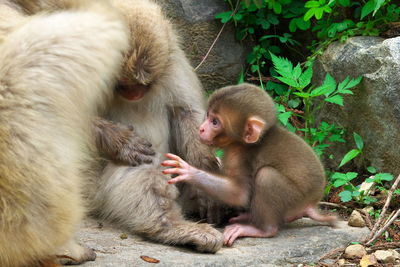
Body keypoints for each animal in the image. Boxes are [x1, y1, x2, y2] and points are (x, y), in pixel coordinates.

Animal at [15, 0, 227, 253]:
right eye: (123, 84)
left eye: (143, 84)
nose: (134, 94)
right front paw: (120, 141)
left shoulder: (172, 62)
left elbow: (187, 112)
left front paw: (208, 184)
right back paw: (171, 227)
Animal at [161, 83, 336, 247]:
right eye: (208, 116)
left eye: (215, 122)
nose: (202, 128)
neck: (247, 142)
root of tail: (311, 203)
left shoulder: (238, 156)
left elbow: (240, 194)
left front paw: (188, 171)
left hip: (296, 198)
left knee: (266, 176)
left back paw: (263, 229)